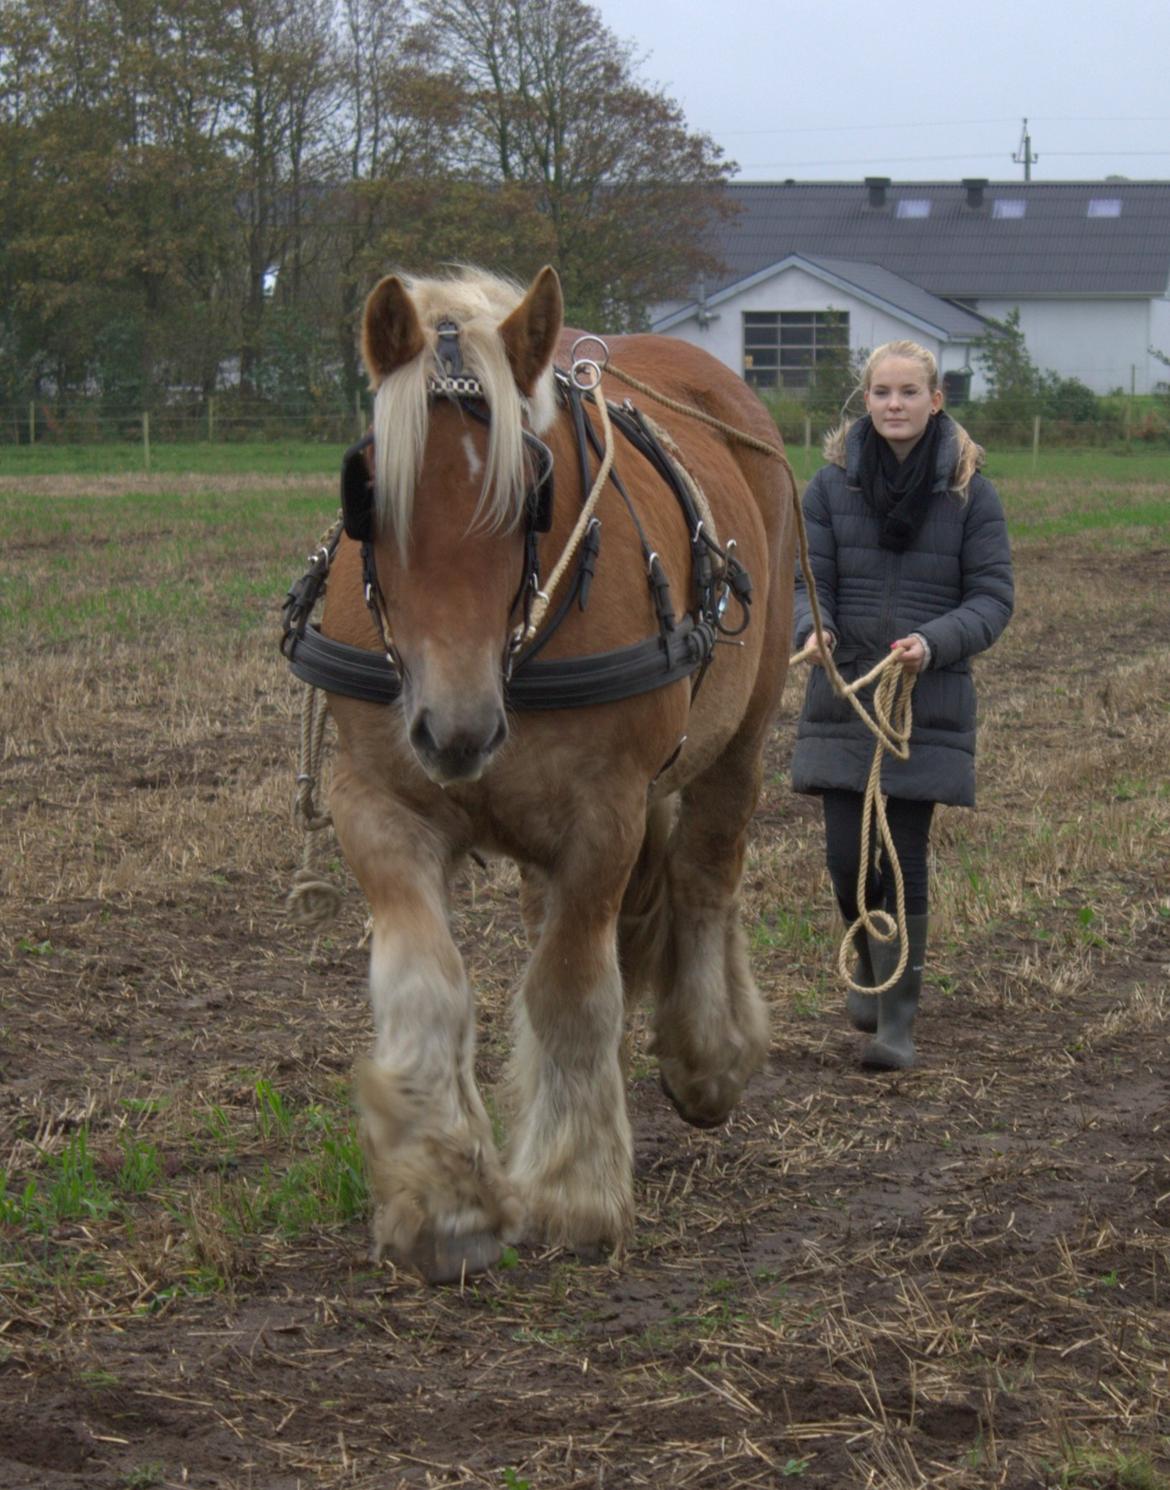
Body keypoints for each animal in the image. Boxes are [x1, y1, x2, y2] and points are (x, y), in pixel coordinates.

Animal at [296, 265, 798, 1281]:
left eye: (533, 493)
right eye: (367, 491)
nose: (456, 729)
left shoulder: (605, 815)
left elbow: (570, 989)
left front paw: (573, 1194)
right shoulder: (376, 802)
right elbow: (428, 982)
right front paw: (444, 1198)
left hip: (742, 731)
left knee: (708, 871)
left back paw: (709, 1054)